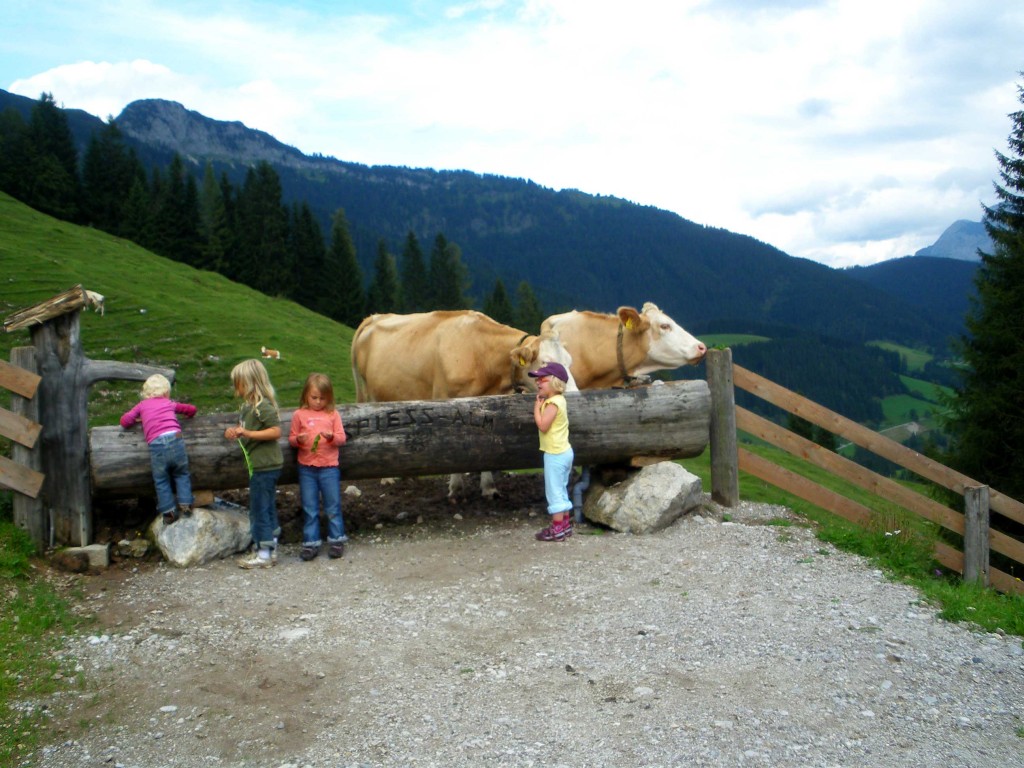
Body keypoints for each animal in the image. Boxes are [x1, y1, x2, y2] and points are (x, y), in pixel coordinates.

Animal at [350, 311, 577, 499]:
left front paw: (489, 488)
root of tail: (374, 316)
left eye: (569, 361)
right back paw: (387, 478)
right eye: (545, 362)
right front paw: (456, 489)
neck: (481, 357)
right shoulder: (445, 402)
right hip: (371, 394)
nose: (575, 395)